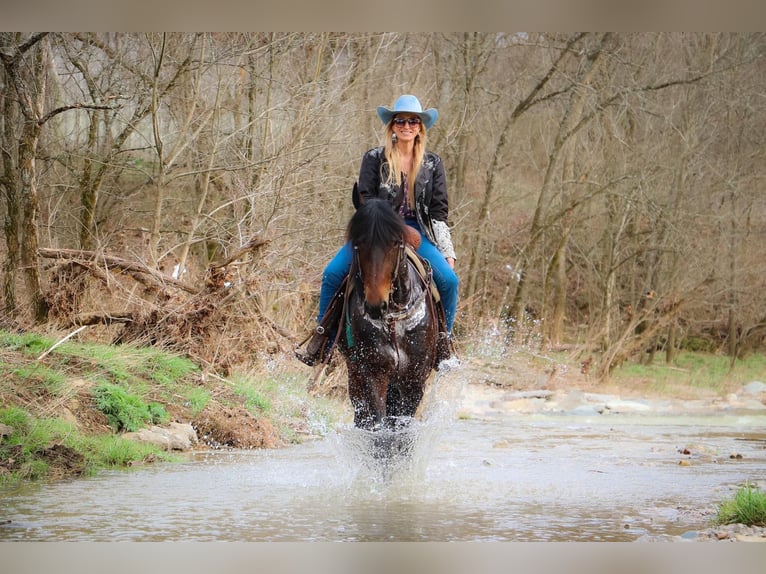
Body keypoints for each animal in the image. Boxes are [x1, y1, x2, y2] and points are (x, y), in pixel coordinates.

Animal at [340, 199, 440, 432]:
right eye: (358, 243)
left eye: (395, 243)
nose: (376, 305)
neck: (394, 321)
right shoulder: (373, 373)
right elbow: (379, 425)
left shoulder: (414, 380)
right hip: (355, 375)